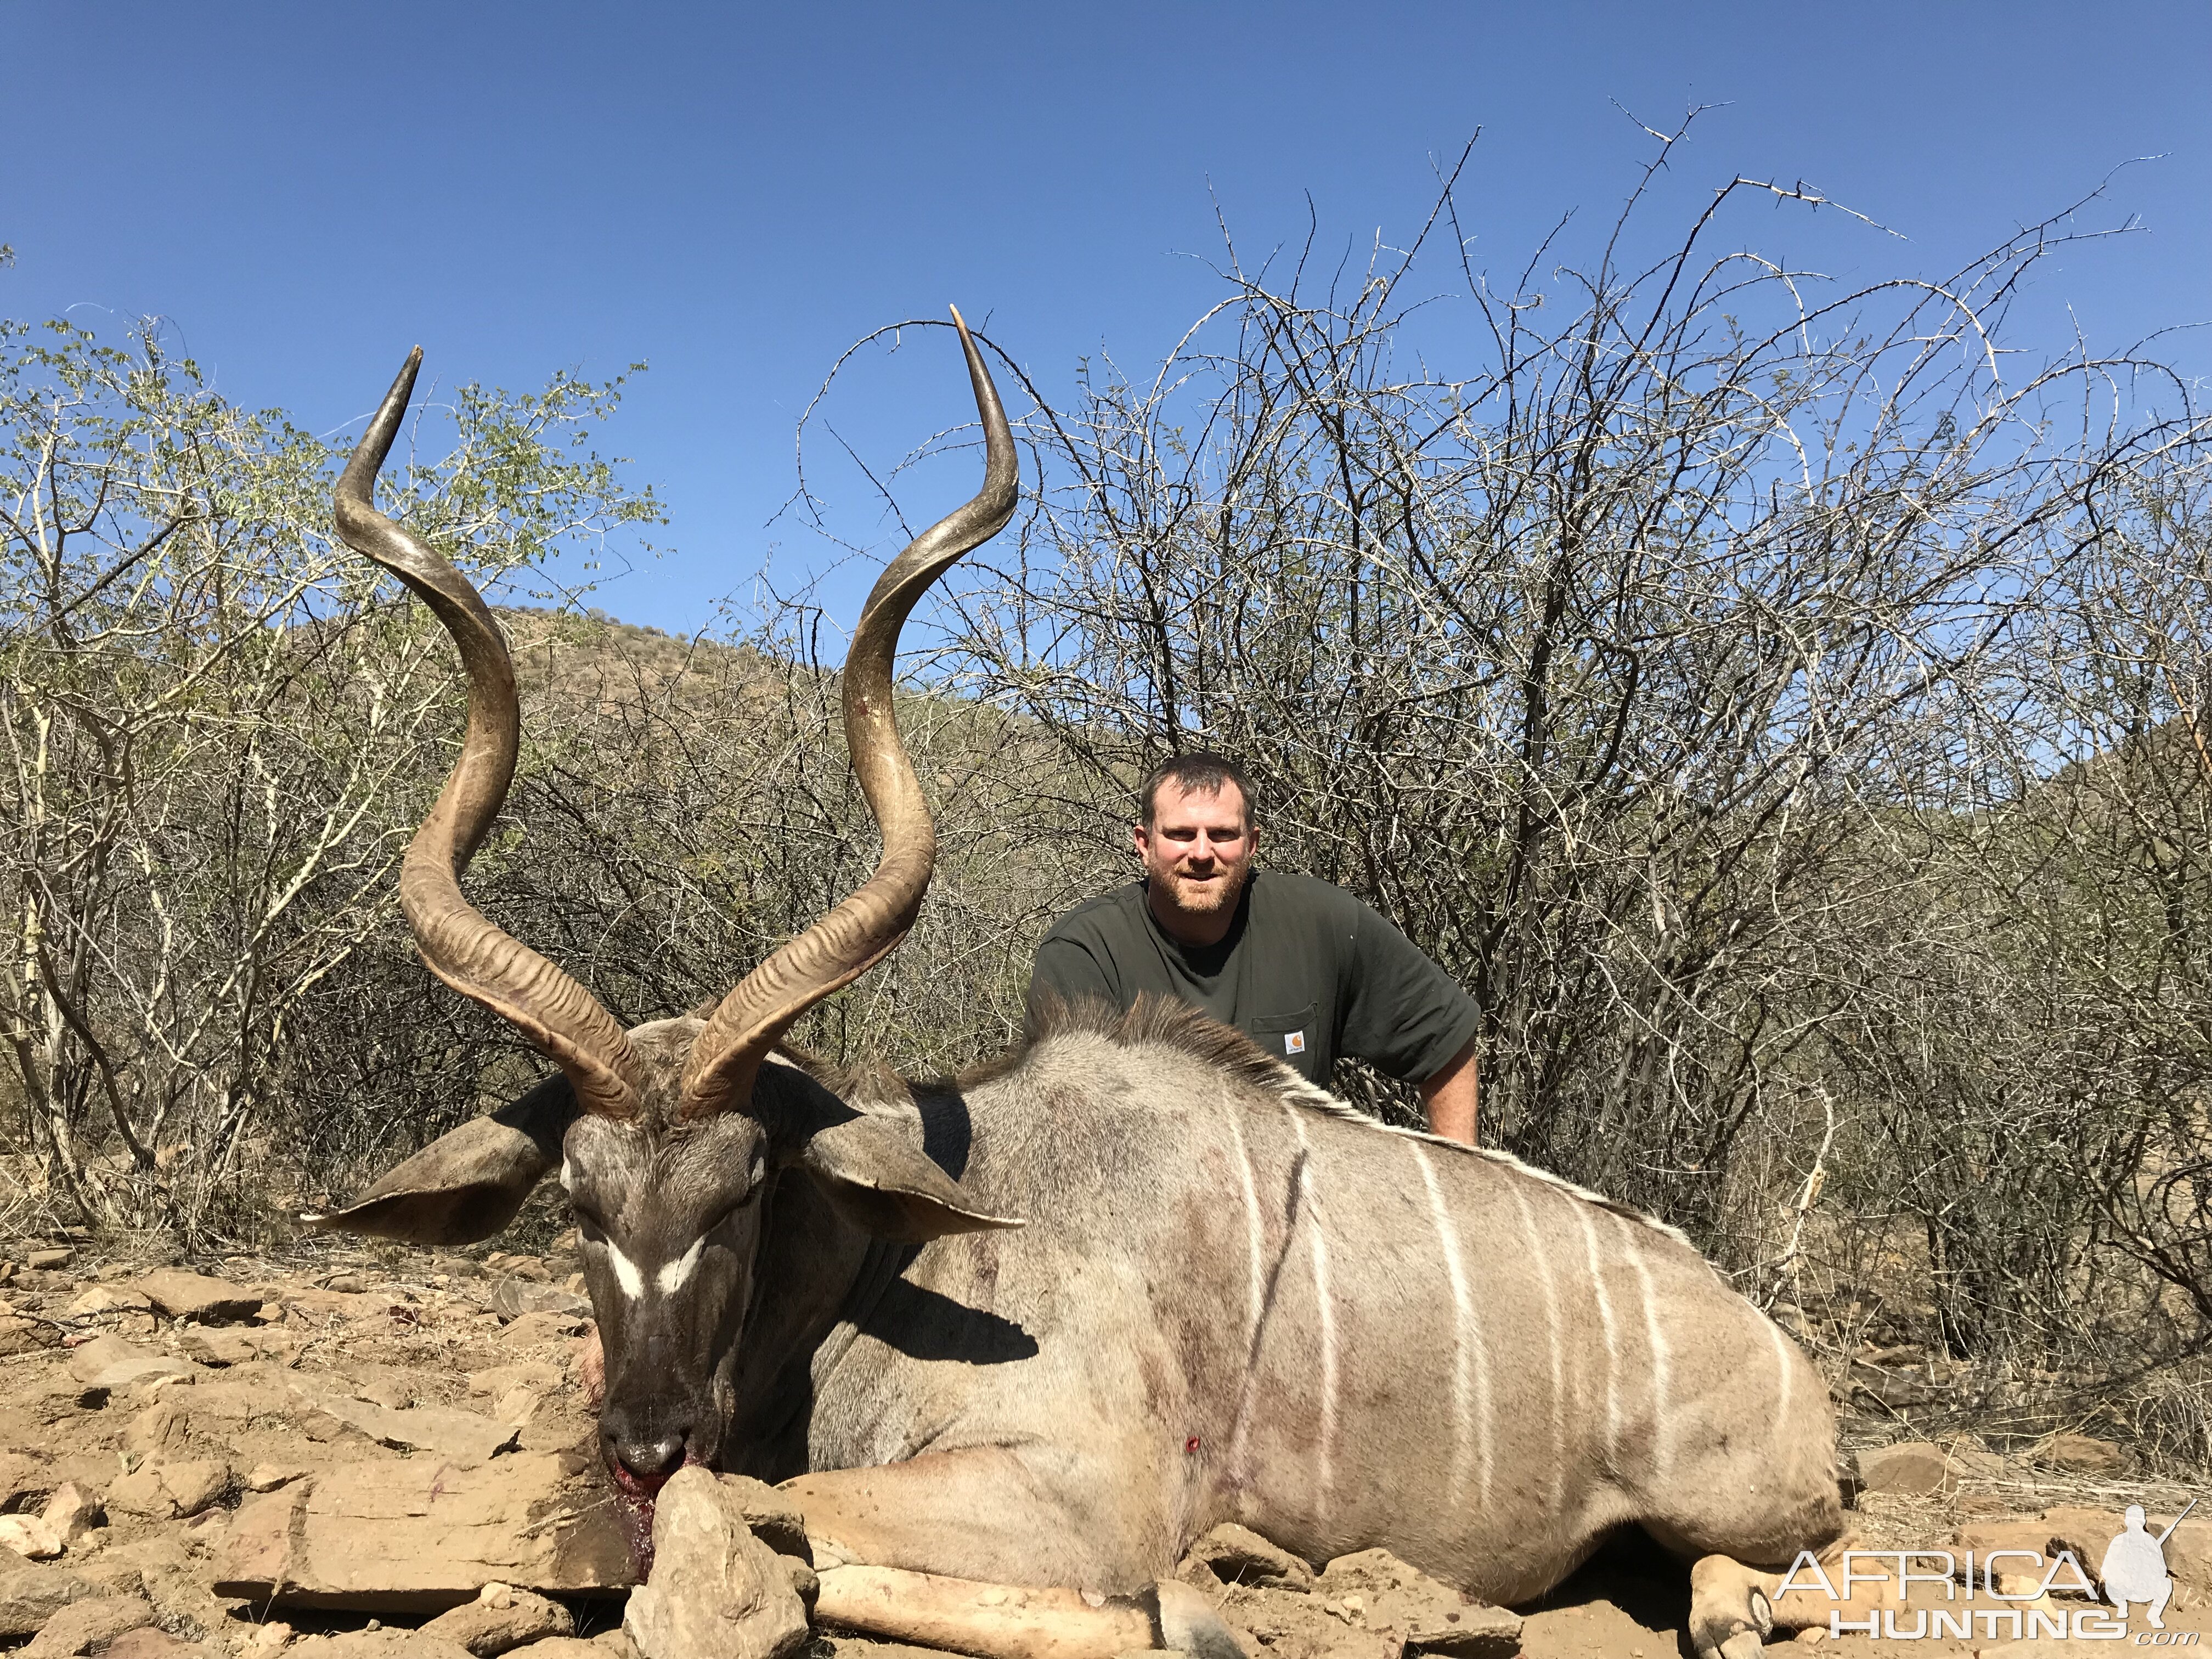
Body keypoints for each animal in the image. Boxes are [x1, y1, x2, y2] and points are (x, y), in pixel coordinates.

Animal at [312, 318, 1849, 1659]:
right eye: (576, 1199)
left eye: (745, 1185)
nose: (644, 1441)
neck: (910, 1250)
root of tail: (1775, 1344)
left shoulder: (1082, 1493)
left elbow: (796, 1521)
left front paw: (1189, 1617)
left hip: (1744, 1506)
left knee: (1773, 1567)